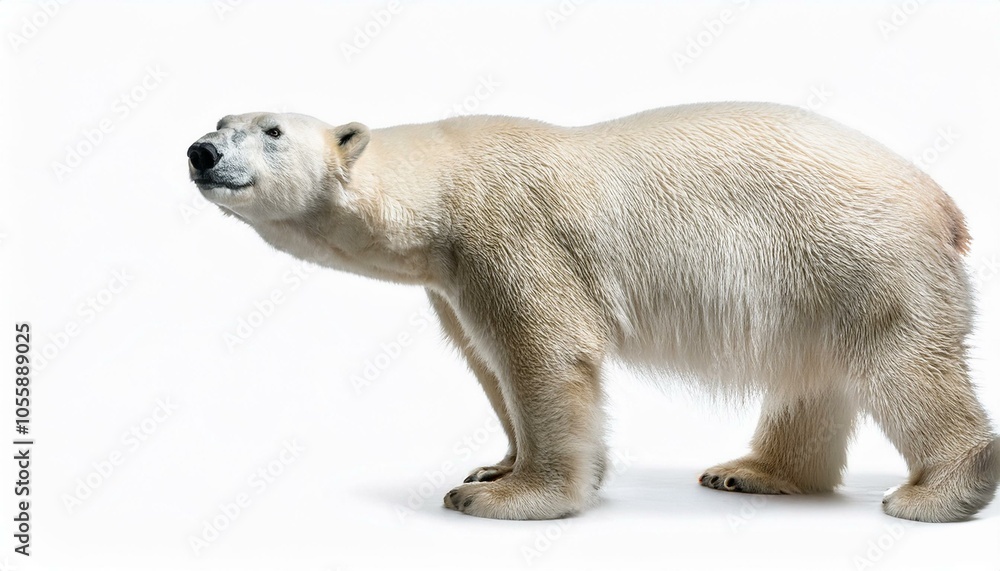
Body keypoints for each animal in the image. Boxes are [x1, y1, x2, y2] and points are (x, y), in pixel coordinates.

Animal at [188, 102, 1000, 522]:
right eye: (222, 118)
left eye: (272, 130)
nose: (200, 151)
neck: (439, 192)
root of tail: (942, 200)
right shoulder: (450, 280)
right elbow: (488, 362)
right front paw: (495, 463)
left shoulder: (507, 231)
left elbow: (542, 351)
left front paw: (504, 495)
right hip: (815, 286)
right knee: (812, 375)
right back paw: (752, 472)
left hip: (863, 257)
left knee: (904, 368)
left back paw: (935, 494)